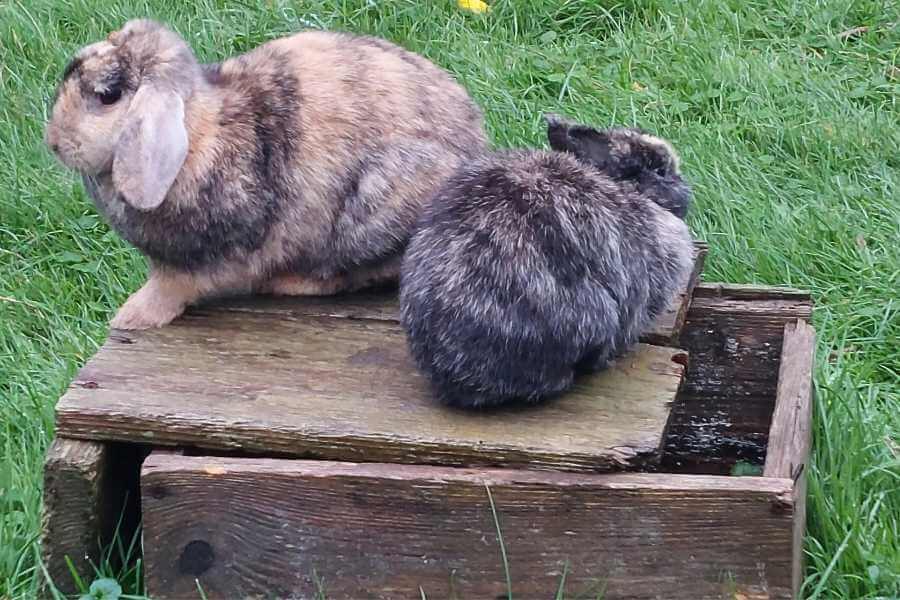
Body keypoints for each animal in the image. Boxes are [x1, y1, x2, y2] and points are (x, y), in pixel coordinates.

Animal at [45, 19, 488, 328]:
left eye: (107, 96)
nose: (53, 143)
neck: (197, 132)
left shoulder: (197, 260)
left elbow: (170, 287)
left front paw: (131, 317)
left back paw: (290, 282)